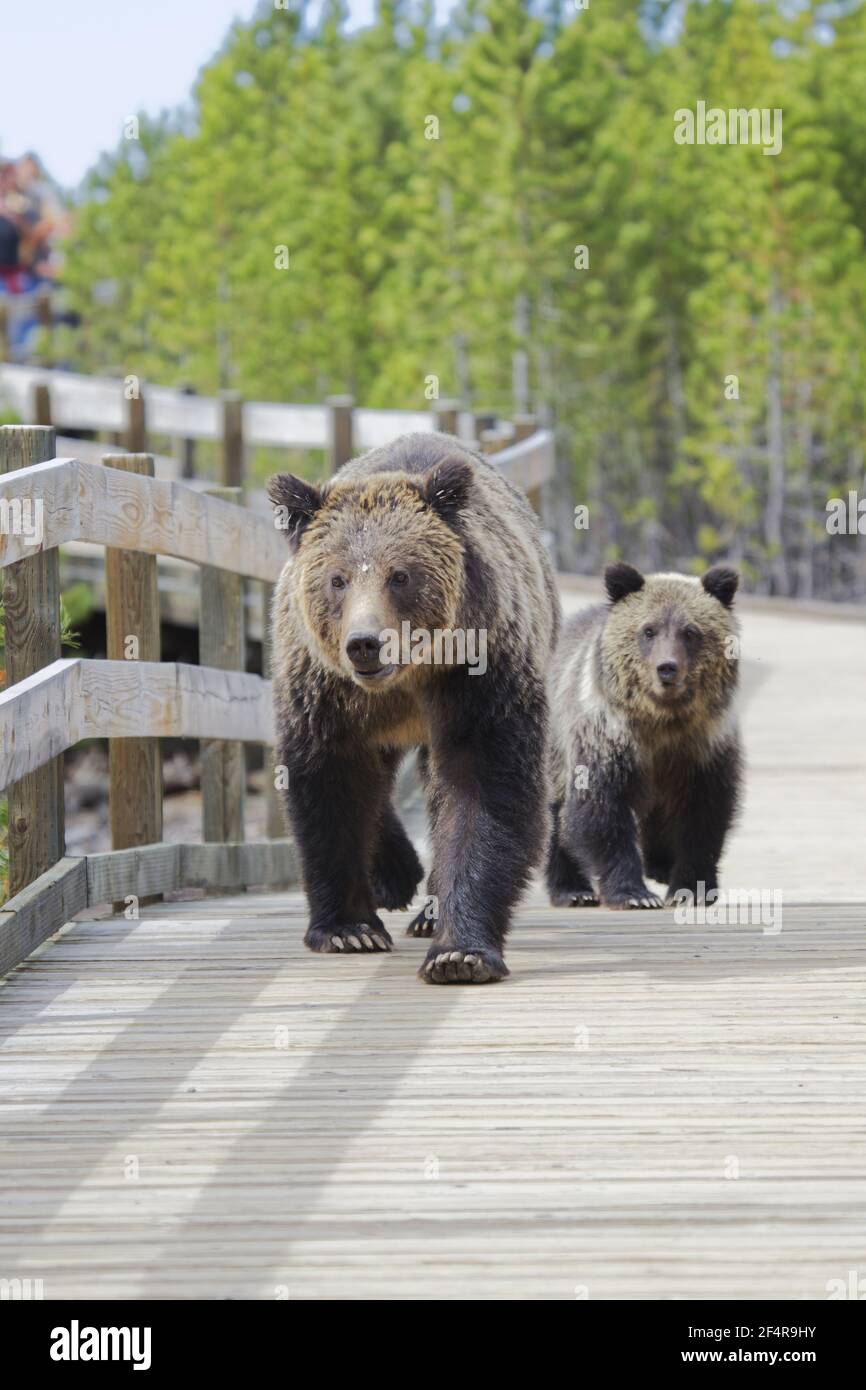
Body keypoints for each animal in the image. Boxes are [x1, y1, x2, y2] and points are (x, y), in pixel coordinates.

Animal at [267, 431, 560, 983]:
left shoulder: (478, 675)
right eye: (337, 578)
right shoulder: (325, 690)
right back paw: (395, 873)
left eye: (399, 575)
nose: (365, 644)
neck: (407, 679)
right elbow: (330, 782)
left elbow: (481, 788)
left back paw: (425, 909)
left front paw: (459, 951)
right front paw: (350, 928)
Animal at [546, 562, 741, 909]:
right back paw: (572, 889)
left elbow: (703, 813)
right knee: (559, 812)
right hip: (555, 744)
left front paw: (690, 889)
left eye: (690, 632)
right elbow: (602, 807)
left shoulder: (702, 746)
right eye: (649, 630)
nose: (667, 668)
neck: (661, 719)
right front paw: (634, 894)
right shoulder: (608, 737)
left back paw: (661, 866)